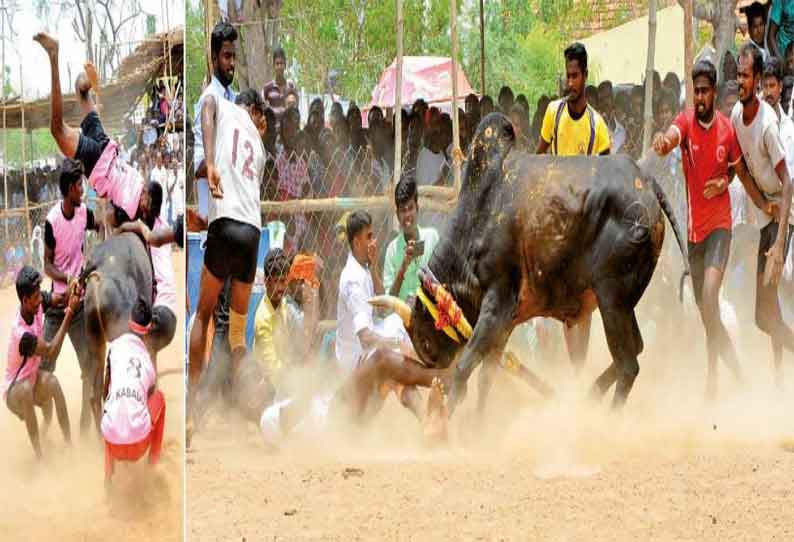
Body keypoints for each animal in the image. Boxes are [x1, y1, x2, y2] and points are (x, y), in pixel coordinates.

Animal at [372, 112, 688, 414]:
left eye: (426, 342)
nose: (435, 369)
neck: (481, 213)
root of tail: (645, 181)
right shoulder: (505, 322)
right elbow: (486, 376)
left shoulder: (497, 304)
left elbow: (464, 371)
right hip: (623, 302)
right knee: (637, 349)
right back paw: (587, 396)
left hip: (612, 298)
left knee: (628, 364)